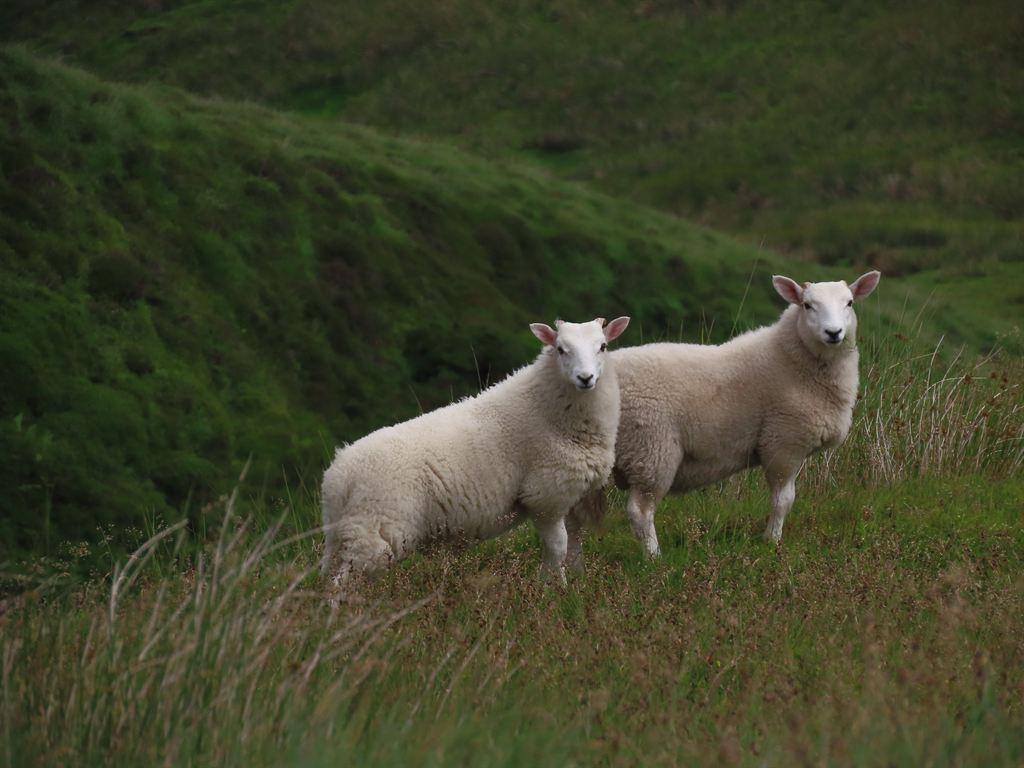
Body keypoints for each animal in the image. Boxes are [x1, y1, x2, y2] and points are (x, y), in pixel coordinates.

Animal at [321, 315, 631, 591]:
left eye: (603, 346)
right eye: (560, 349)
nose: (585, 378)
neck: (546, 407)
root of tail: (337, 477)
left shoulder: (570, 495)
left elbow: (573, 545)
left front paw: (567, 584)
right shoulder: (545, 496)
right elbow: (557, 548)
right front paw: (554, 591)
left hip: (343, 535)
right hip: (376, 528)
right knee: (340, 586)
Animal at [567, 271, 880, 562]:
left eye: (850, 303)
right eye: (807, 305)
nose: (833, 332)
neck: (793, 360)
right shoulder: (783, 443)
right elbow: (783, 500)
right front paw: (772, 542)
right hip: (652, 449)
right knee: (640, 511)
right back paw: (654, 558)